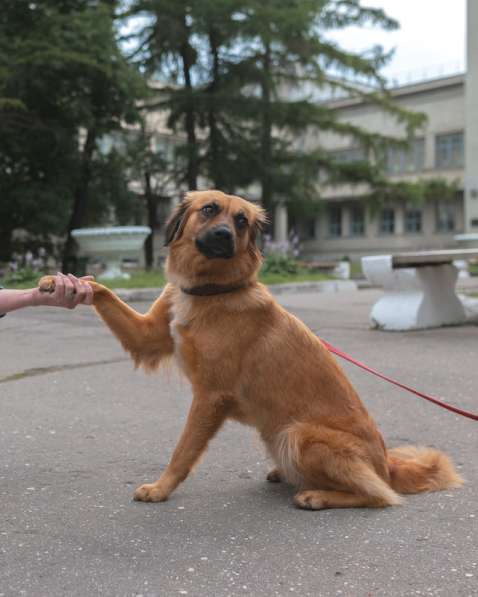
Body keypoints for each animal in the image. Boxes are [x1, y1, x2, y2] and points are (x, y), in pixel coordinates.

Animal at [38, 190, 464, 508]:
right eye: (209, 210)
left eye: (241, 221)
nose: (225, 235)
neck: (211, 290)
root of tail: (385, 463)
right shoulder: (147, 336)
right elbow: (104, 293)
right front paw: (64, 282)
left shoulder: (210, 396)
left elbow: (183, 450)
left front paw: (161, 488)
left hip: (298, 434)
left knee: (381, 495)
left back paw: (317, 495)